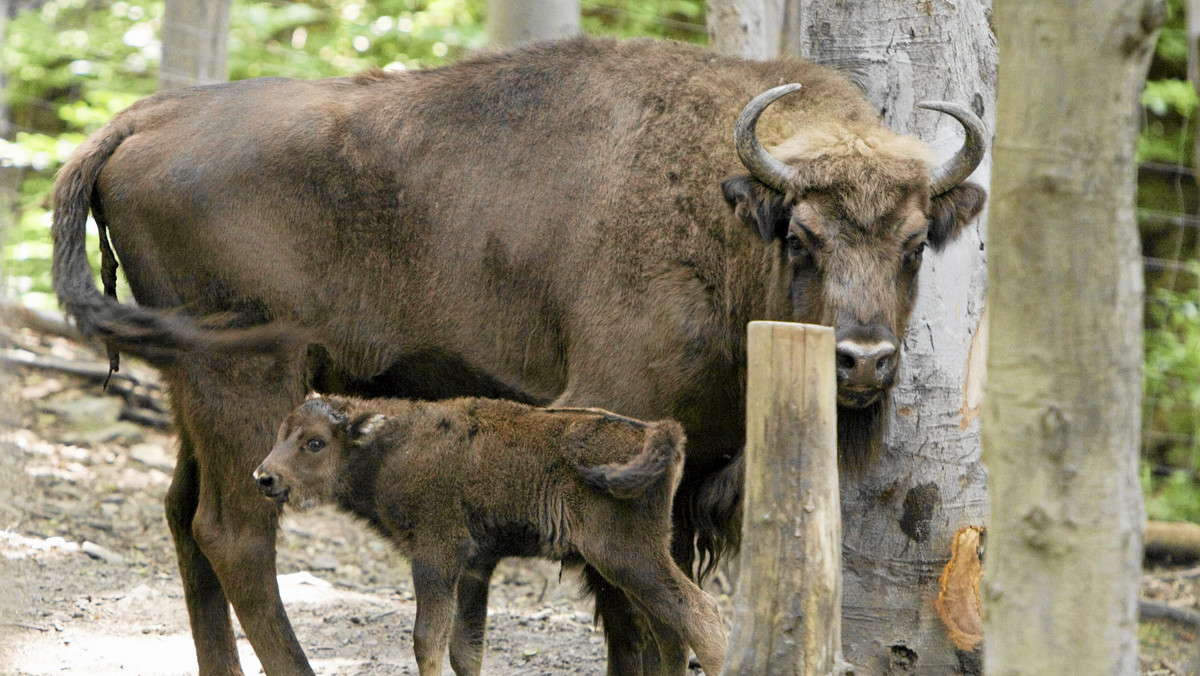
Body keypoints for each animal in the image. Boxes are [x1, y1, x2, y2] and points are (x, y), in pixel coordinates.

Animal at [252, 393, 724, 676]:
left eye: (315, 443)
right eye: (281, 433)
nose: (265, 477)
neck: (392, 447)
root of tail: (654, 431)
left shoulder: (436, 556)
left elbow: (427, 640)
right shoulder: (476, 568)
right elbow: (465, 649)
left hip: (627, 556)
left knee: (702, 618)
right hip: (634, 562)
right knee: (671, 629)